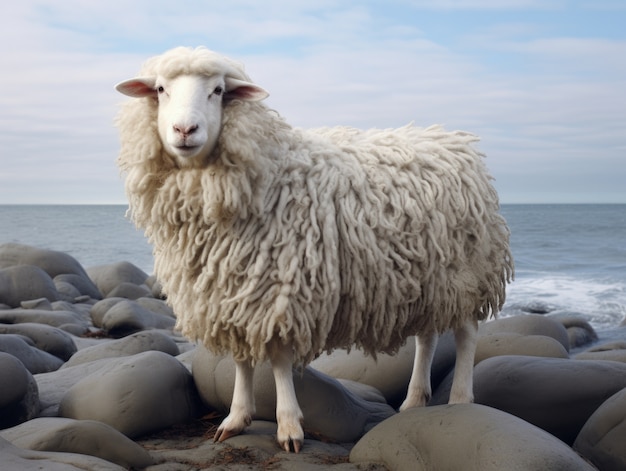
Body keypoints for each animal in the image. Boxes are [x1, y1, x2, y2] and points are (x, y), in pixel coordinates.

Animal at [116, 45, 512, 454]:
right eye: (161, 89)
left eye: (218, 91)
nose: (184, 130)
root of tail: (455, 141)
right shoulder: (231, 293)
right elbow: (241, 360)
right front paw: (236, 418)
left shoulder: (280, 287)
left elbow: (278, 360)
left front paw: (289, 426)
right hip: (426, 275)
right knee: (428, 335)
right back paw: (414, 400)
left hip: (467, 270)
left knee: (466, 333)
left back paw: (460, 399)